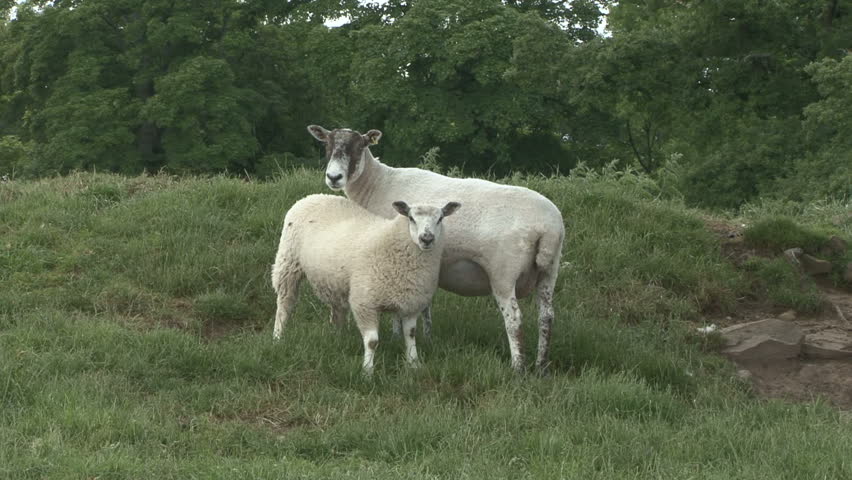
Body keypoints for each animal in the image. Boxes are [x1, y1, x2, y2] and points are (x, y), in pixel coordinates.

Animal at [271, 193, 461, 374]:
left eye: (440, 218)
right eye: (411, 218)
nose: (427, 239)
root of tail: (312, 197)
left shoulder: (411, 304)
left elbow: (411, 335)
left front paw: (414, 365)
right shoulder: (365, 302)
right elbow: (372, 341)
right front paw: (367, 372)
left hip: (335, 282)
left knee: (337, 312)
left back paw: (339, 337)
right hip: (288, 263)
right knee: (284, 306)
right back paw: (278, 337)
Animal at [307, 125, 565, 373]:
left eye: (359, 146)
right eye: (327, 145)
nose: (334, 177)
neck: (378, 183)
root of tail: (548, 227)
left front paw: (397, 335)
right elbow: (425, 307)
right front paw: (427, 337)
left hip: (503, 272)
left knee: (514, 320)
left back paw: (517, 367)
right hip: (549, 270)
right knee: (546, 317)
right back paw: (541, 365)